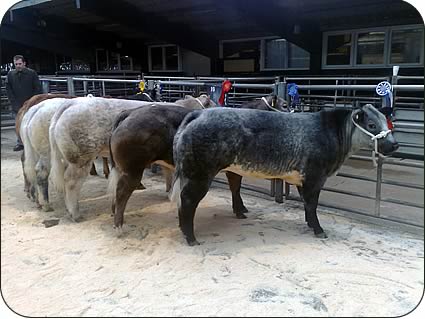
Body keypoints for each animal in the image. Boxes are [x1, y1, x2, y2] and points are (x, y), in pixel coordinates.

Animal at [171, 104, 398, 246]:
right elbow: (312, 204)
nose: (395, 144)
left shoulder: (302, 178)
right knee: (187, 200)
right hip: (200, 174)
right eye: (372, 125)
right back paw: (190, 237)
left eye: (387, 123)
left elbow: (307, 204)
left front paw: (310, 224)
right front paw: (318, 230)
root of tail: (198, 114)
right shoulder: (315, 176)